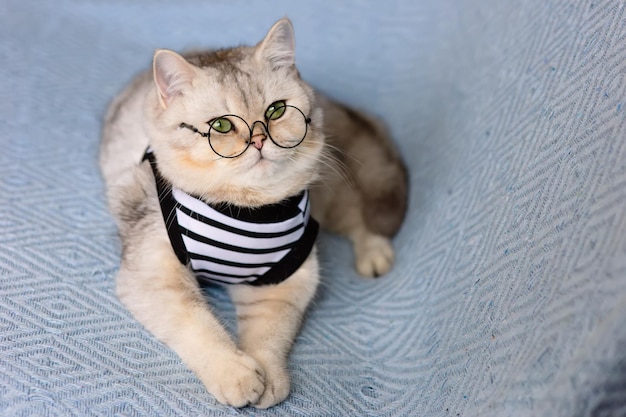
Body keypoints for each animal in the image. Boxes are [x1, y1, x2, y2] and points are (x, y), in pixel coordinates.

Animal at [98, 17, 404, 408]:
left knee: (359, 217)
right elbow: (198, 326)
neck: (247, 207)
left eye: (276, 110)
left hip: (330, 192)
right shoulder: (153, 275)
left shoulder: (283, 281)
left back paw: (374, 252)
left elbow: (269, 336)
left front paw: (268, 376)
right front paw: (236, 373)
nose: (259, 140)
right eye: (221, 126)